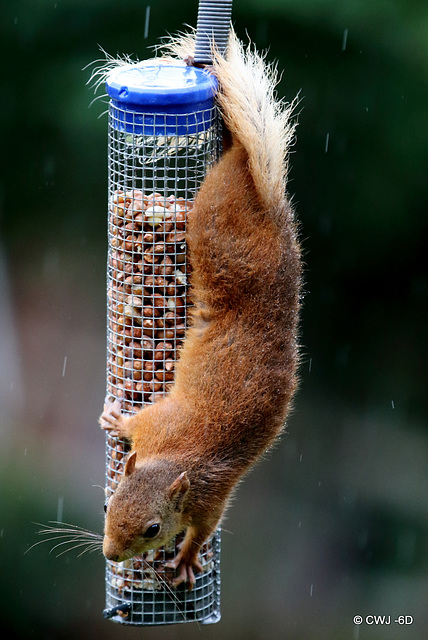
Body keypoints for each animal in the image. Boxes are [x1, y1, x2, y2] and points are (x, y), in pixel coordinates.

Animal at [99, 31, 302, 592]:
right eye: (107, 506)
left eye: (152, 529)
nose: (109, 554)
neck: (174, 460)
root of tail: (266, 200)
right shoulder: (162, 438)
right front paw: (115, 418)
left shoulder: (212, 492)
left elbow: (203, 529)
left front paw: (187, 559)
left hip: (215, 230)